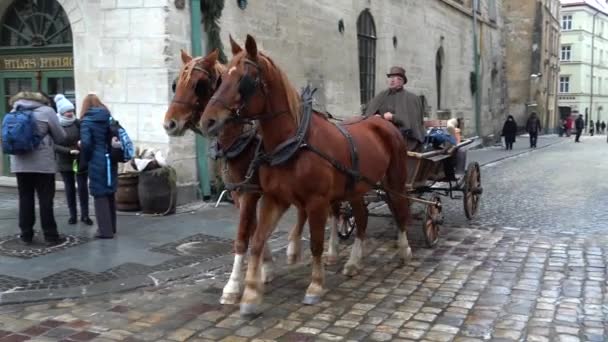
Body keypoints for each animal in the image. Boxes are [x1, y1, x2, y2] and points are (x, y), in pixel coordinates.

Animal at [163, 48, 342, 304]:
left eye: (199, 84)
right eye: (175, 84)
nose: (170, 123)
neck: (241, 139)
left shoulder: (251, 193)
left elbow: (242, 237)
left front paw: (233, 285)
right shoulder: (243, 193)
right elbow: (255, 229)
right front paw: (264, 269)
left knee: (335, 210)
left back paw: (332, 251)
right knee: (303, 210)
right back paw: (293, 248)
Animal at [200, 34, 414, 316]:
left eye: (244, 80)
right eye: (221, 78)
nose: (207, 121)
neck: (293, 141)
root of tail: (382, 120)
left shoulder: (316, 201)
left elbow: (316, 243)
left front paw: (315, 286)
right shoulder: (273, 198)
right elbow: (256, 241)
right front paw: (250, 295)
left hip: (394, 180)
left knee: (400, 209)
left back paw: (404, 250)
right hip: (355, 187)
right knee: (362, 218)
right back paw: (354, 262)